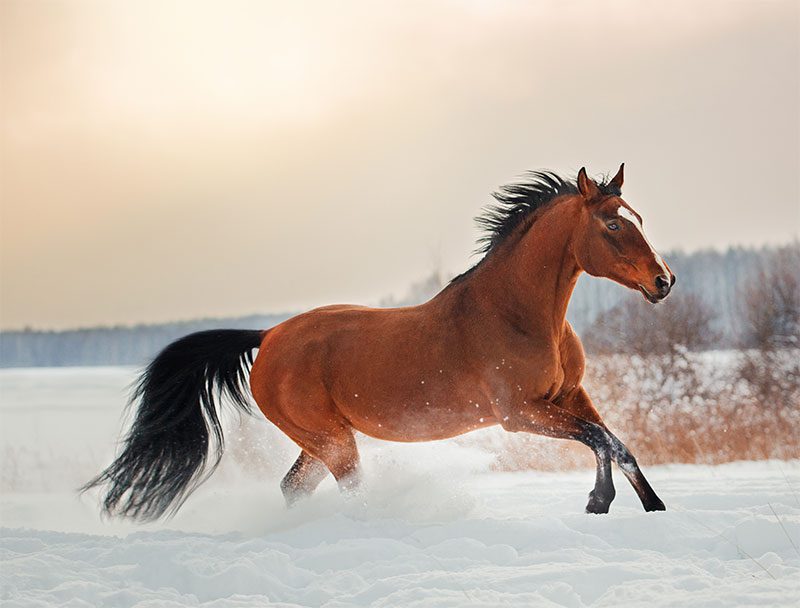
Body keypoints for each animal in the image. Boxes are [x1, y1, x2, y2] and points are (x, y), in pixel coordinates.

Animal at [83, 164, 675, 521]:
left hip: (320, 440)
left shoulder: (570, 396)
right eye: (612, 225)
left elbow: (615, 441)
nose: (663, 281)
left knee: (293, 488)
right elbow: (601, 440)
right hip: (333, 440)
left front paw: (650, 507)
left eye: (638, 218)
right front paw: (600, 501)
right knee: (347, 488)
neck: (518, 315)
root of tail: (269, 336)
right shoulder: (520, 413)